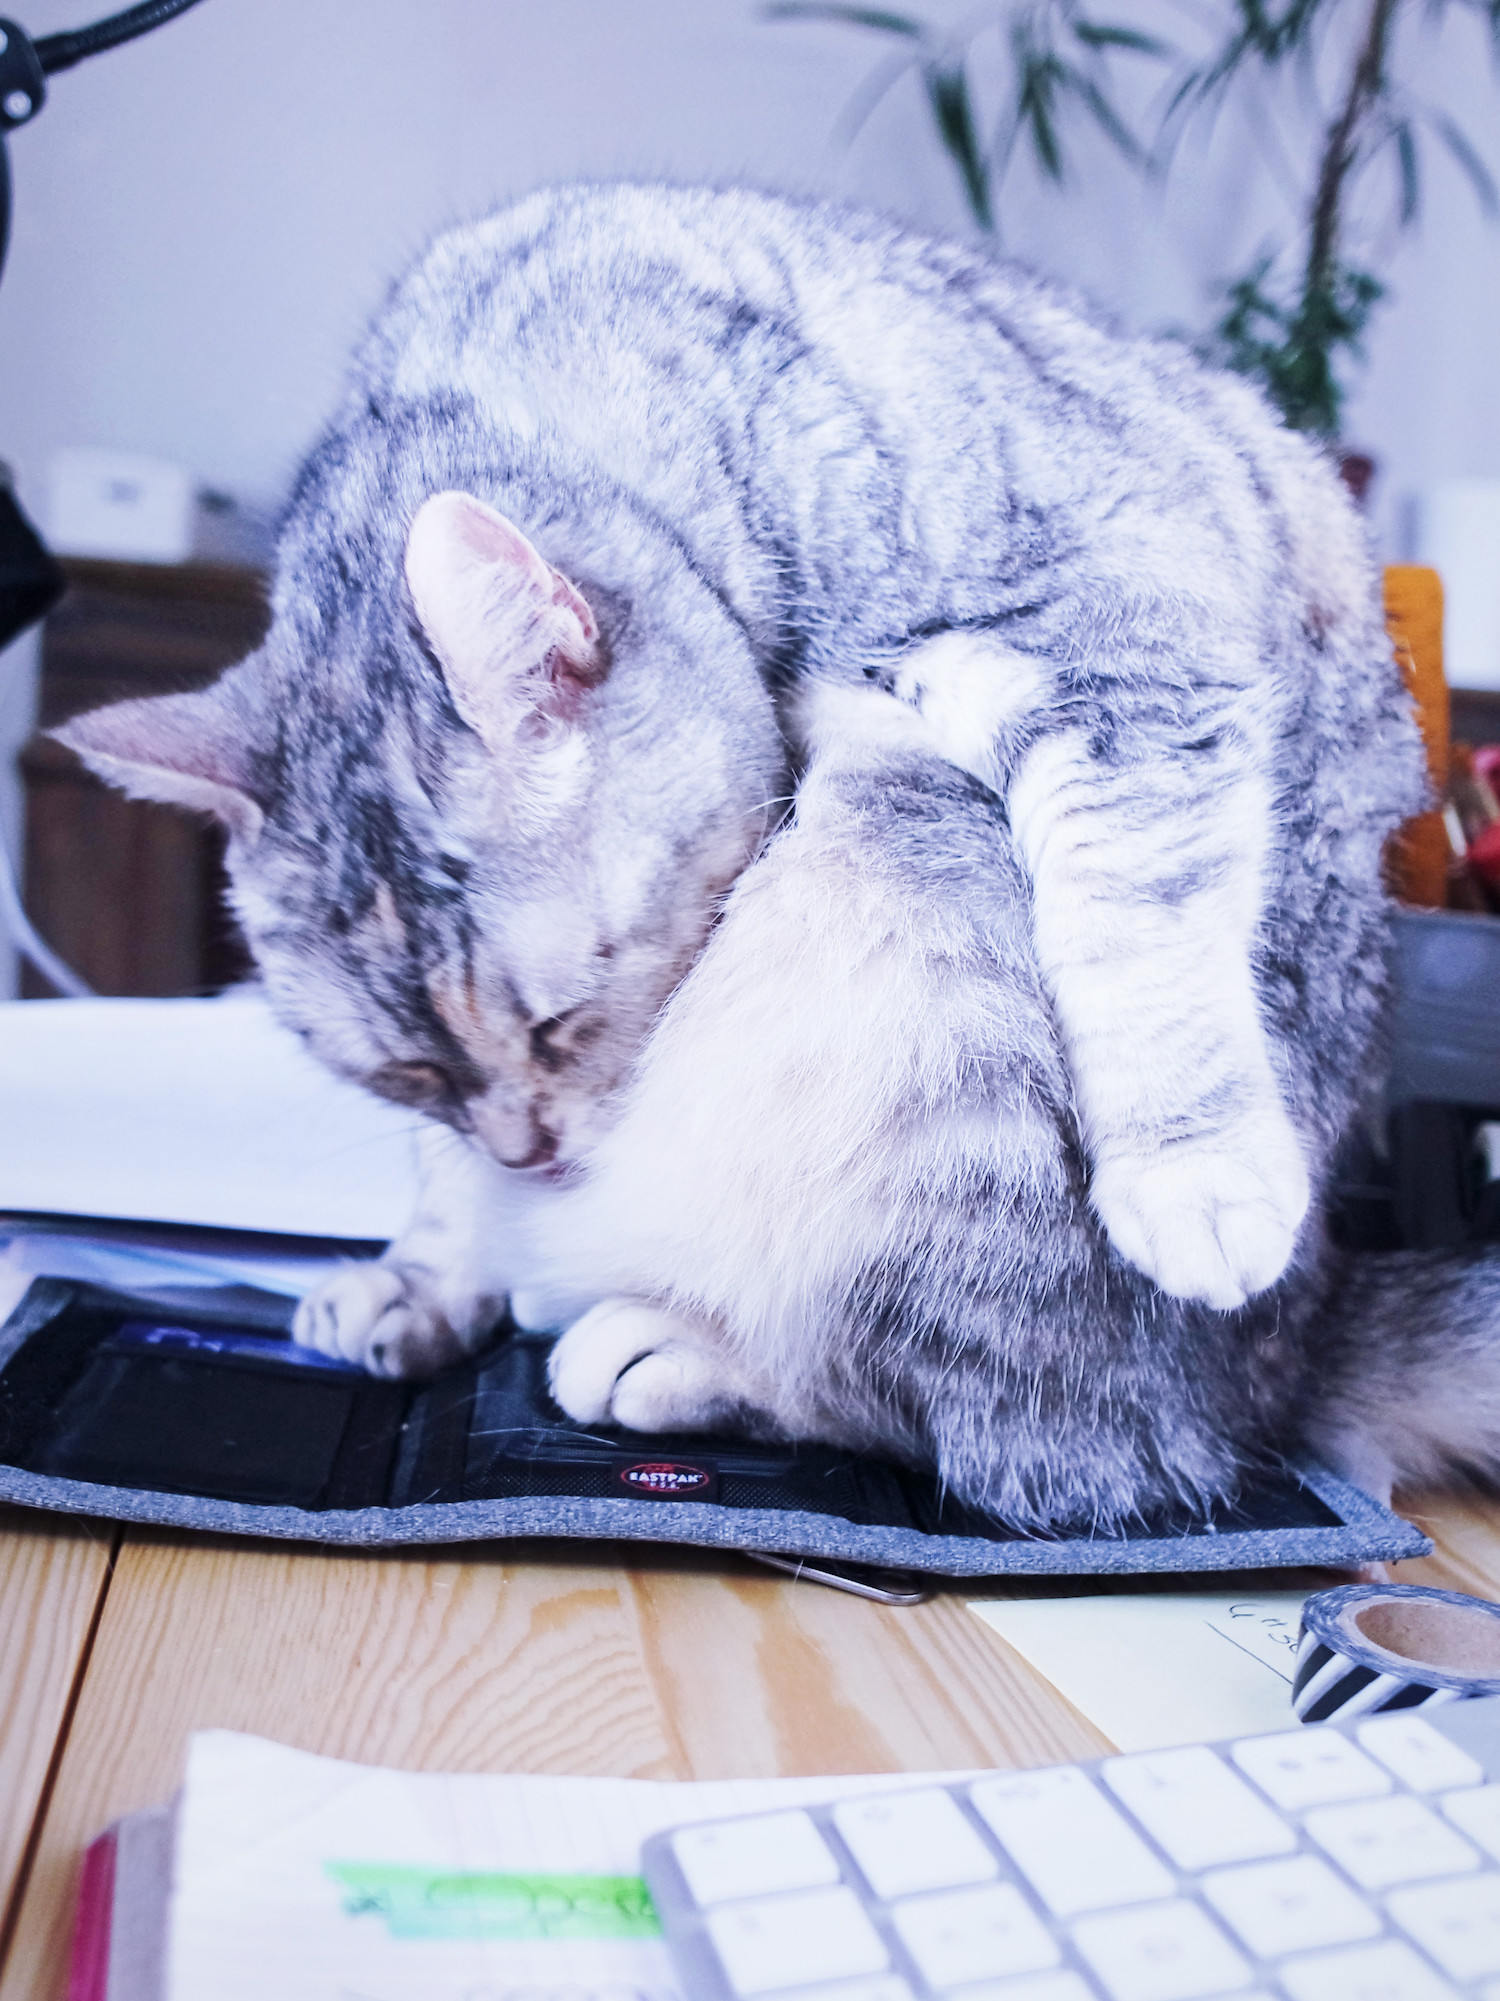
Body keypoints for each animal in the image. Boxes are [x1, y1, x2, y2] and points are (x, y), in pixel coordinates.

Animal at [58, 188, 1500, 1520]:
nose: (527, 1159)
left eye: (561, 1023)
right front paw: (428, 1272)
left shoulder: (1120, 642)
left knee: (1009, 1421)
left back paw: (681, 1347)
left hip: (905, 866)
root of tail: (1288, 1359)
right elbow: (438, 1173)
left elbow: (1139, 903)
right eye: (408, 1071)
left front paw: (1196, 1168)